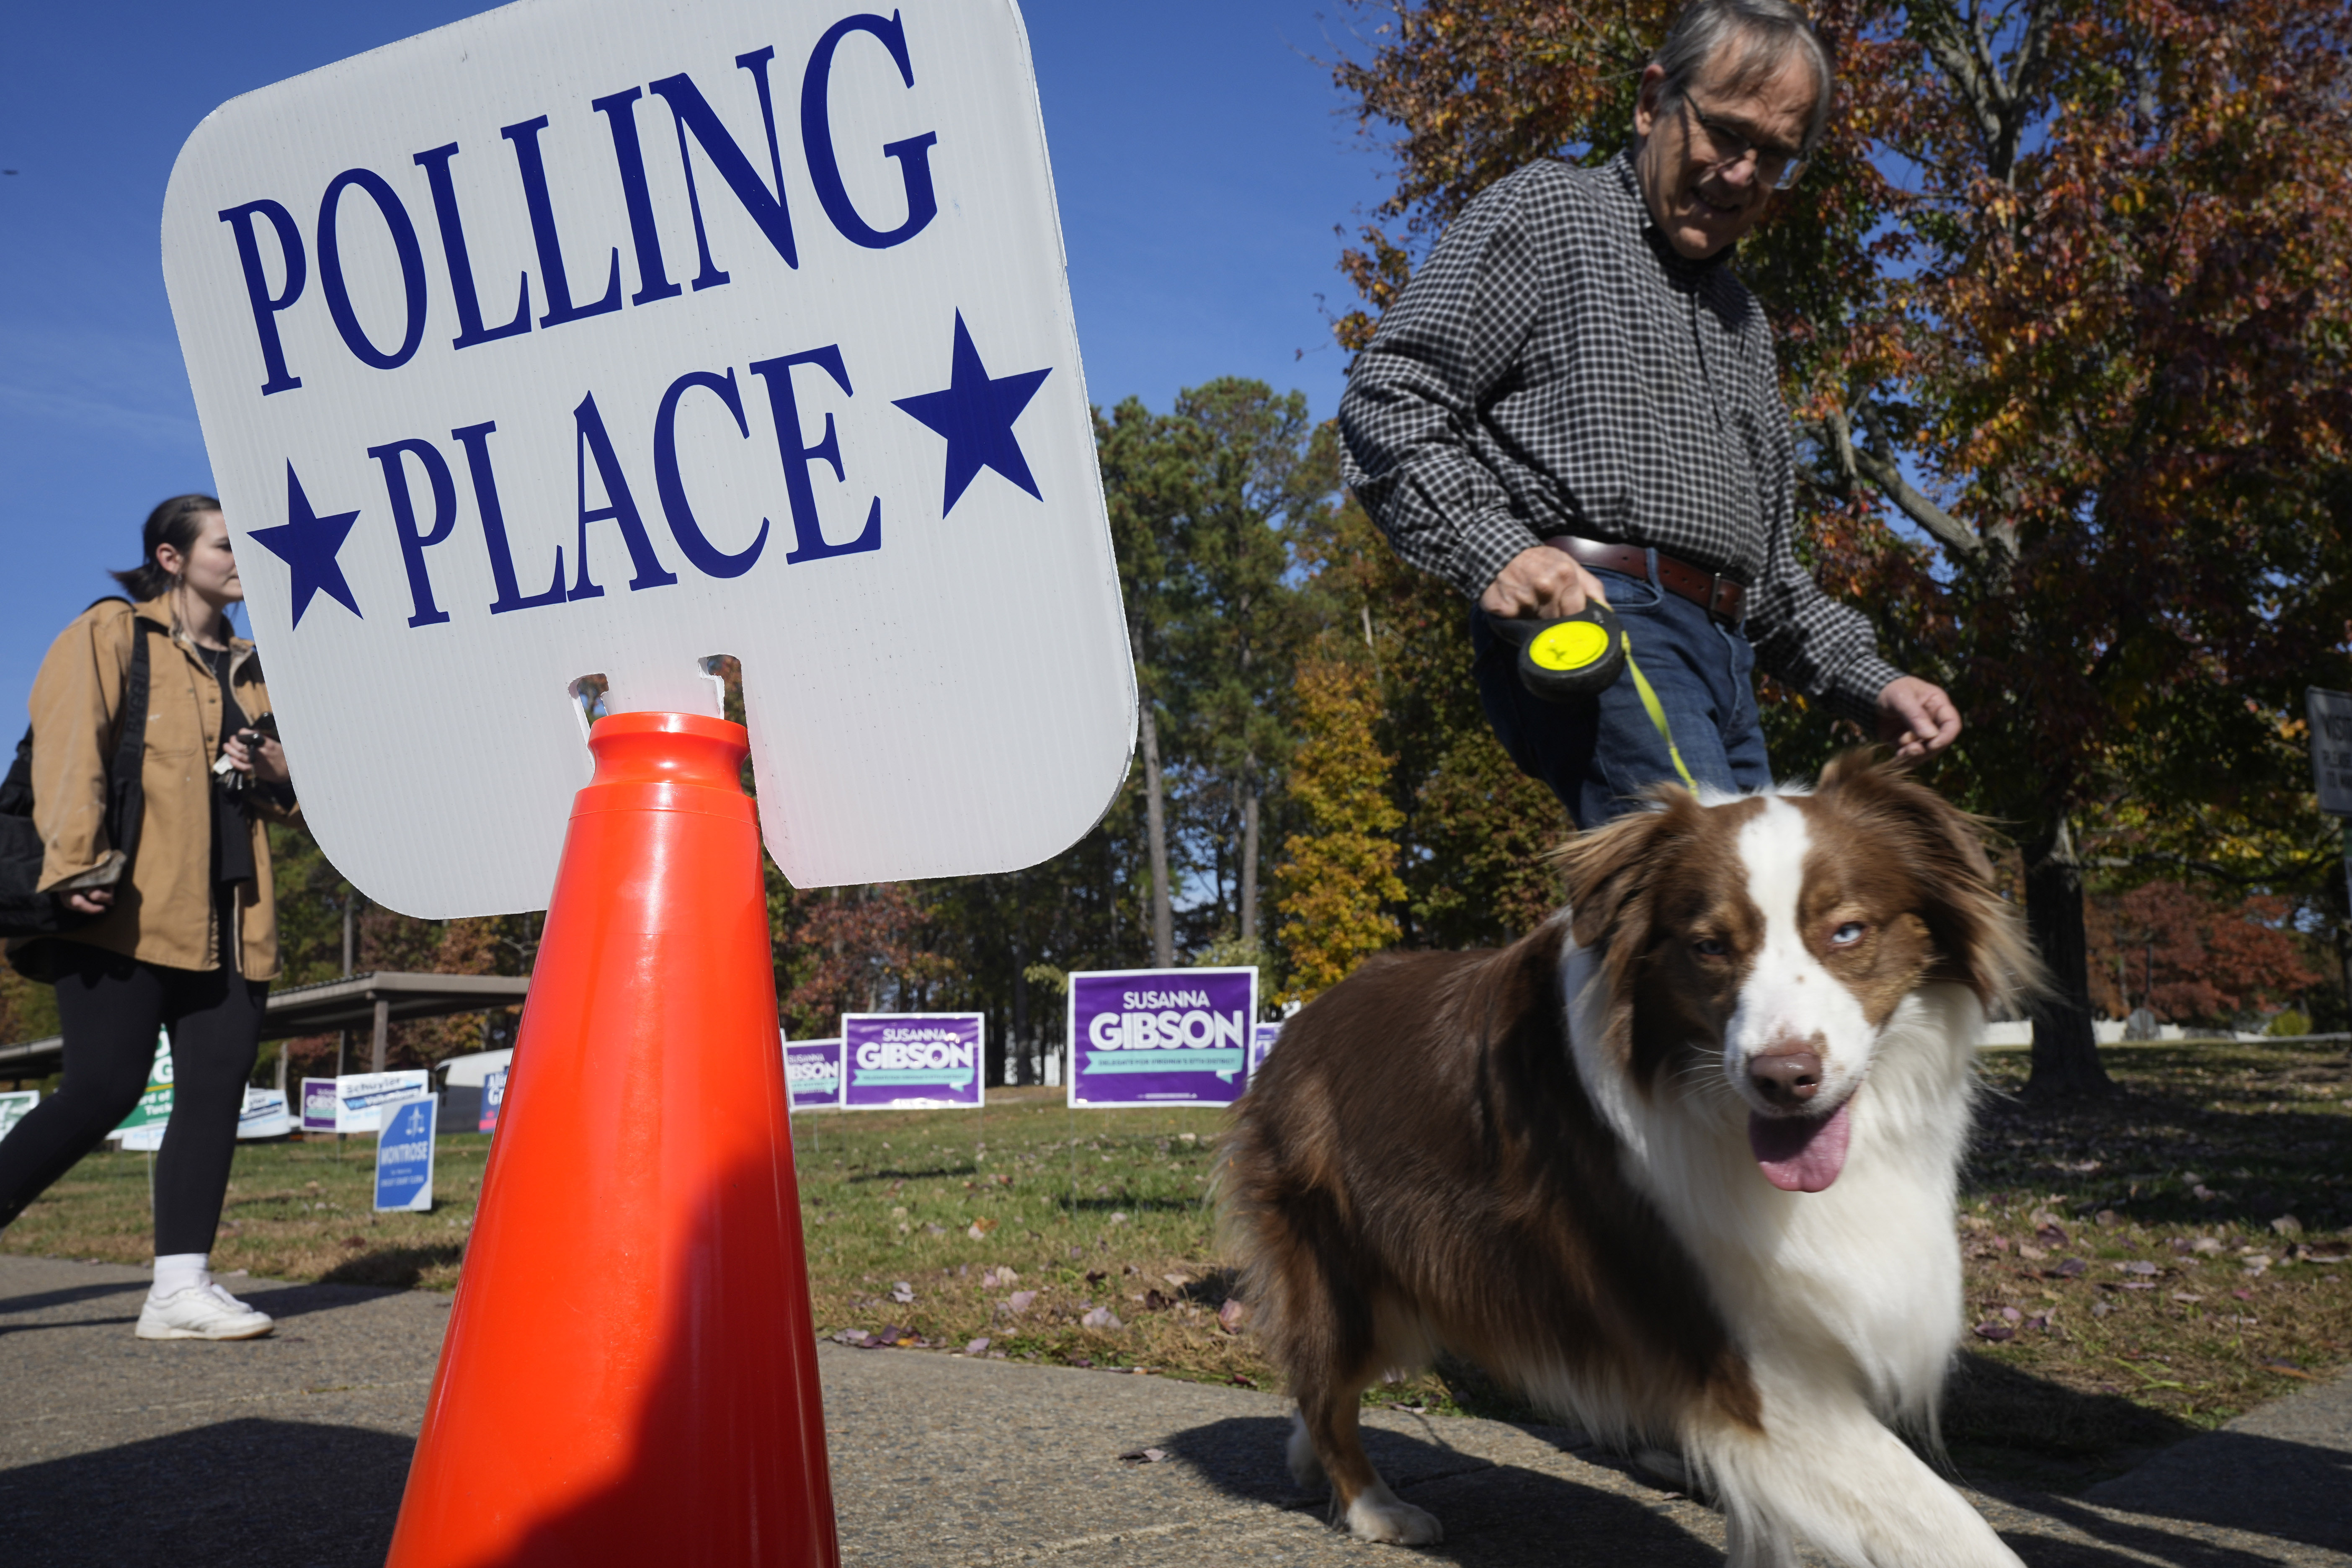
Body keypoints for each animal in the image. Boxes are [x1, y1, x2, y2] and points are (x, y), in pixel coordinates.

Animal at [1223, 752, 2032, 1561]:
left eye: (1848, 930)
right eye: (1709, 945)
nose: (1782, 1077)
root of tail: (1302, 1018)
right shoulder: (1754, 1361)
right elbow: (1947, 1525)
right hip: (1346, 1261)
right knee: (1325, 1386)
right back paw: (1375, 1507)